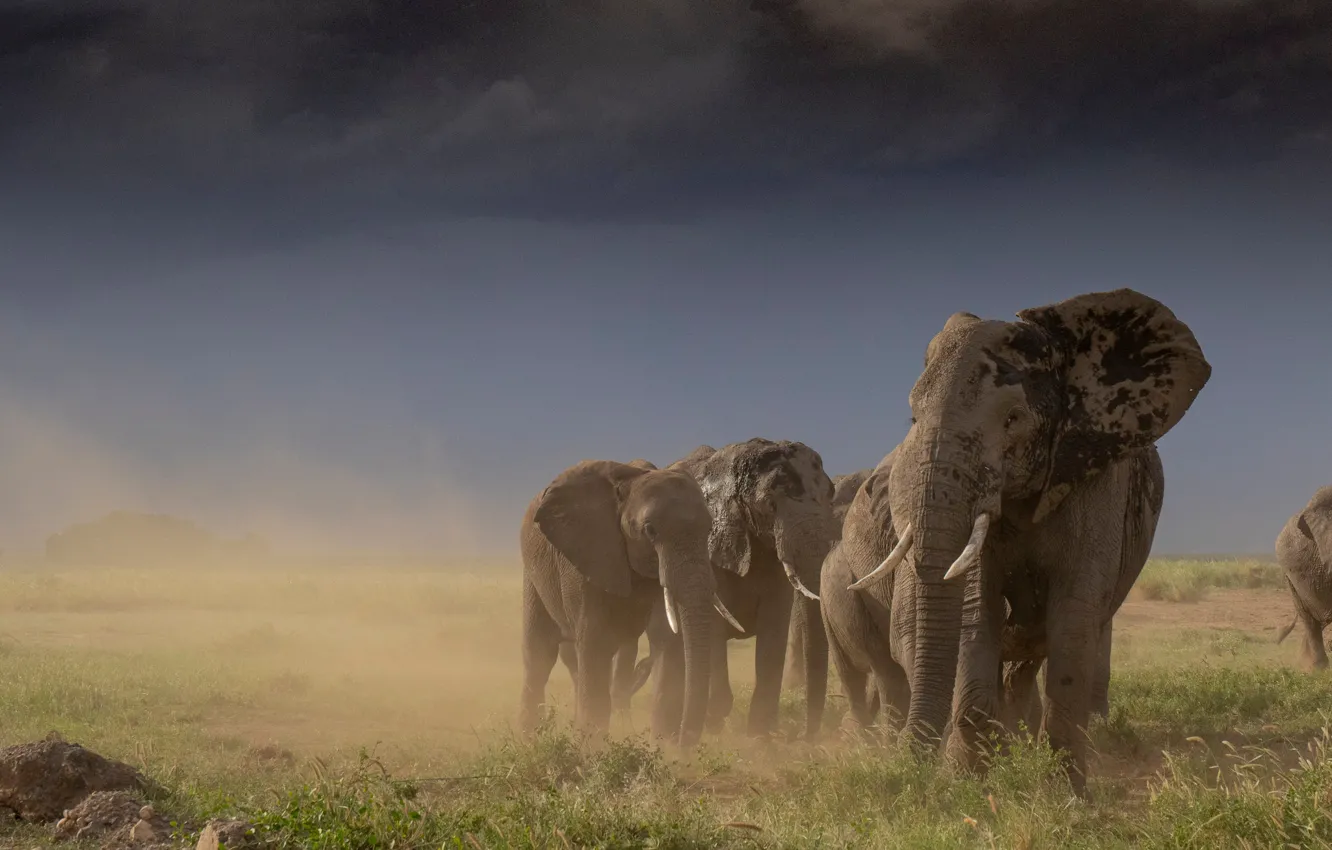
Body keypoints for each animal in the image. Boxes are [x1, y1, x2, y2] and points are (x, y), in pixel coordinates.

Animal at [519, 458, 740, 746]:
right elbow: (595, 642)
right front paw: (592, 750)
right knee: (540, 655)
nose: (684, 742)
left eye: (709, 529)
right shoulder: (589, 554)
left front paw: (663, 748)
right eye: (650, 530)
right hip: (532, 572)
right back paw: (529, 741)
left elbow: (667, 638)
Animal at [633, 439, 837, 741]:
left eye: (830, 496)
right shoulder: (709, 546)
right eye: (770, 504)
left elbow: (773, 630)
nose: (806, 739)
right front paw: (716, 724)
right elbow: (714, 627)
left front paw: (759, 740)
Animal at [841, 288, 1211, 796]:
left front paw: (1068, 796)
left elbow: (1073, 614)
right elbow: (976, 610)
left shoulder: (1096, 475)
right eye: (912, 416)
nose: (907, 770)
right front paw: (968, 786)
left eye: (1014, 418)